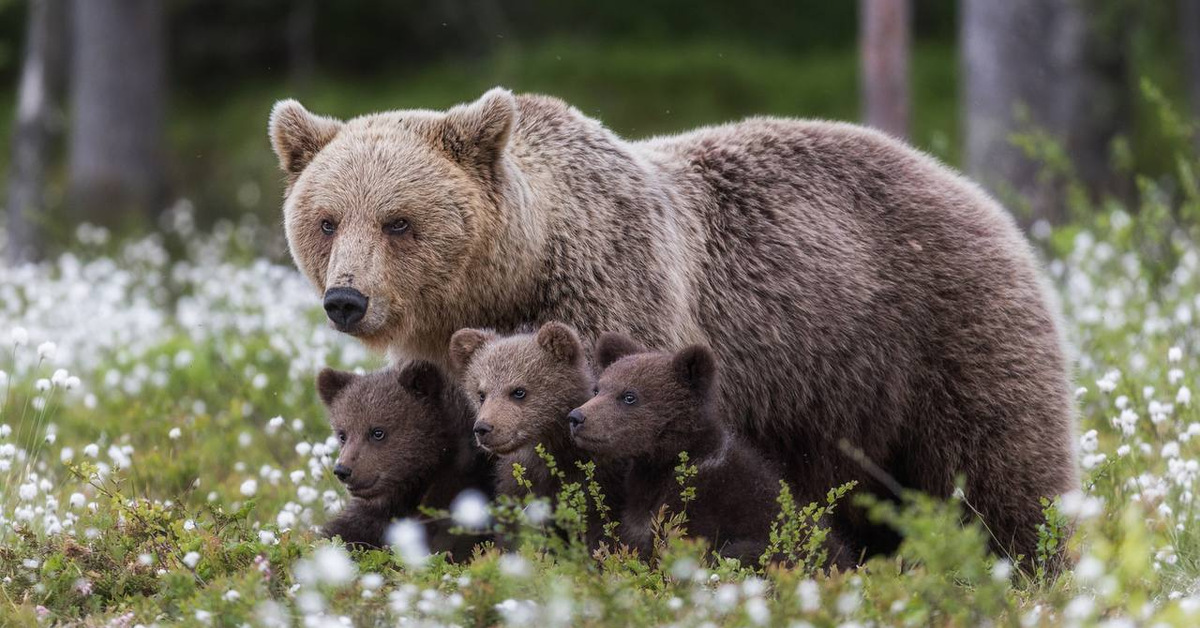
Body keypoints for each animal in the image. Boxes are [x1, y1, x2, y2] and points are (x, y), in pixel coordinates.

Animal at [270, 85, 1080, 561]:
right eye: (326, 219)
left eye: (398, 221)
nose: (346, 300)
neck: (508, 275)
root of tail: (970, 186)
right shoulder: (451, 356)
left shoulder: (613, 293)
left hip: (935, 331)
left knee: (1001, 466)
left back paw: (1027, 565)